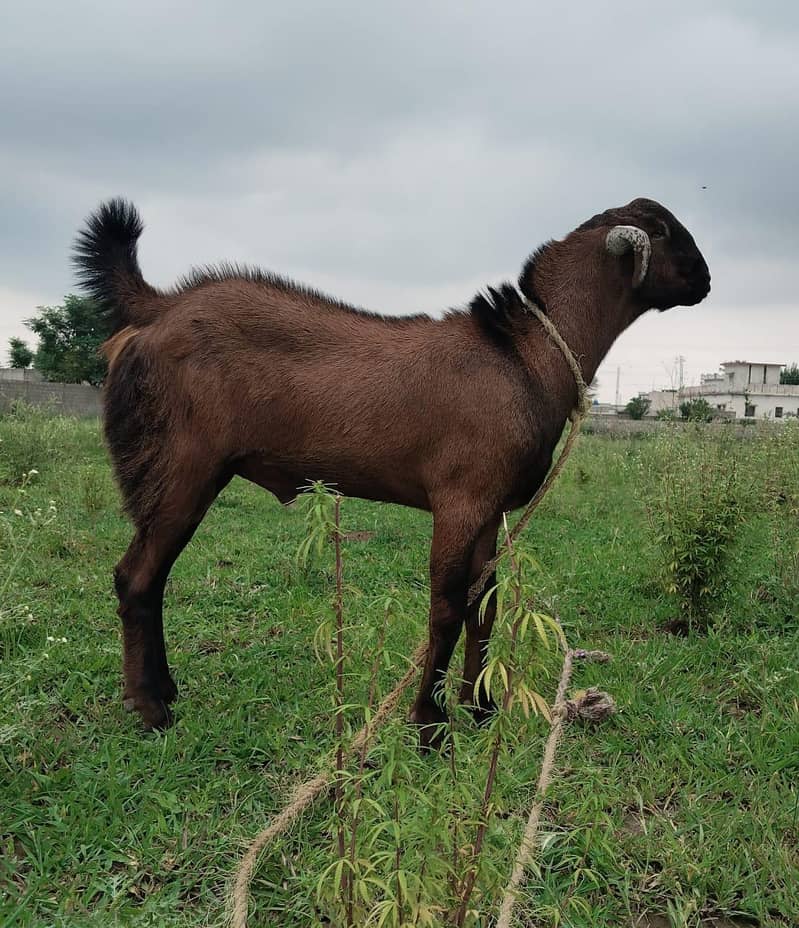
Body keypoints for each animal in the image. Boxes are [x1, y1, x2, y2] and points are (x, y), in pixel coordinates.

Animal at [74, 197, 710, 747]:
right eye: (663, 231)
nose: (705, 281)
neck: (523, 356)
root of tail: (160, 308)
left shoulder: (490, 509)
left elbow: (484, 606)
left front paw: (481, 710)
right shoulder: (460, 498)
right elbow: (446, 608)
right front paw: (428, 724)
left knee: (152, 577)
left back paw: (164, 690)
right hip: (180, 464)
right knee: (137, 577)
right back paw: (150, 707)